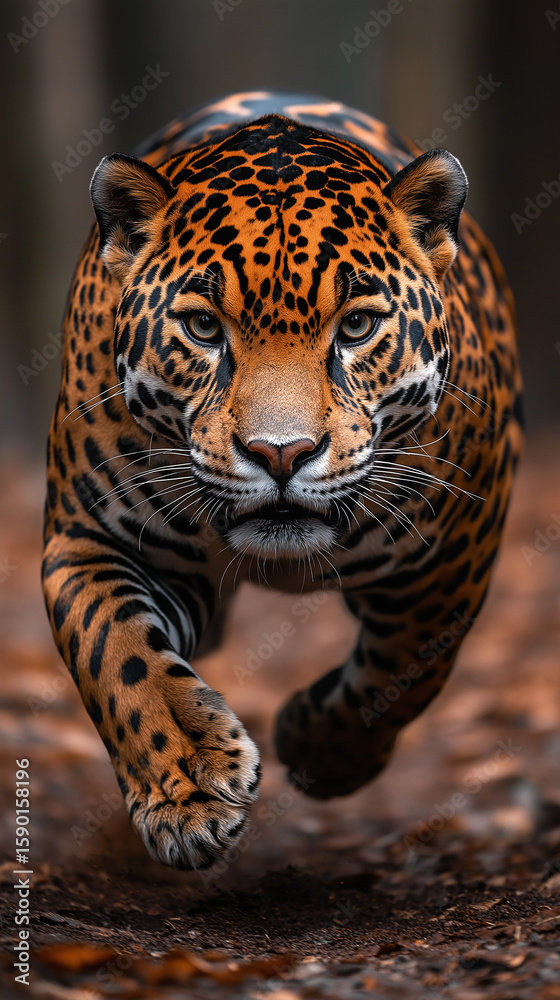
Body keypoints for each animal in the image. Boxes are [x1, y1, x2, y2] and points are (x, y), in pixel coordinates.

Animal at [42, 89, 523, 870]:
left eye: (356, 327)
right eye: (204, 329)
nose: (280, 453)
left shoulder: (451, 562)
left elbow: (401, 671)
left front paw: (319, 749)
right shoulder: (88, 542)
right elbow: (117, 654)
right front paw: (189, 790)